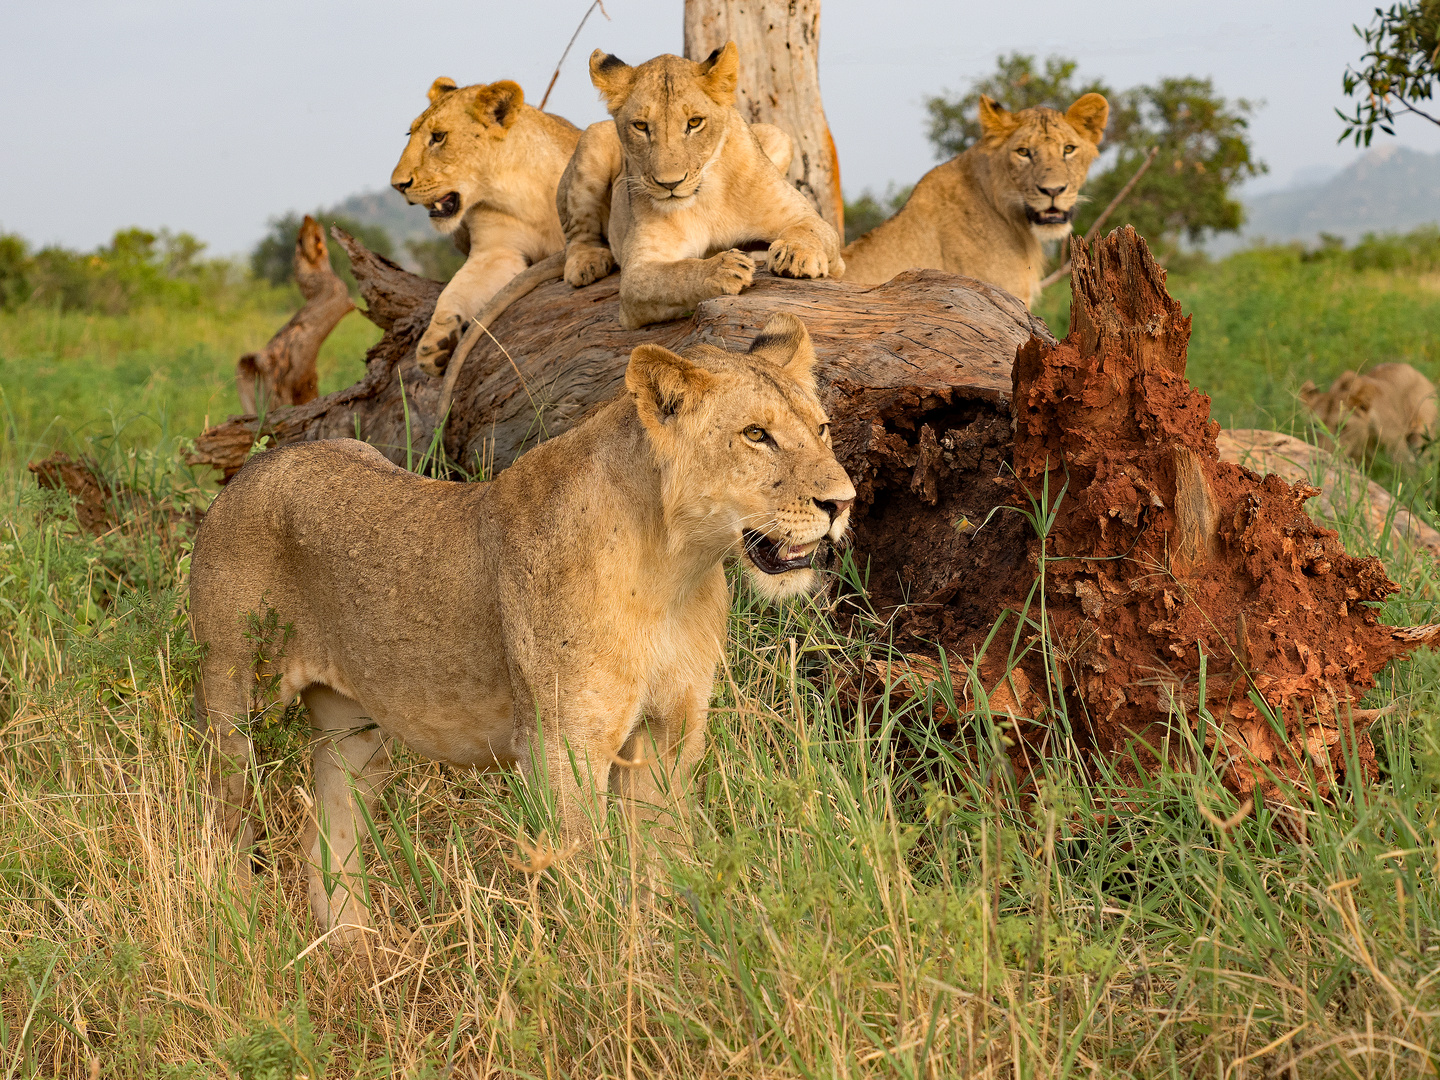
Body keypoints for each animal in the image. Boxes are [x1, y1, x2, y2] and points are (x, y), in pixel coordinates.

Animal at [197, 316, 858, 944]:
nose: (843, 502)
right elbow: (585, 867)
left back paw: (353, 952)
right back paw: (235, 924)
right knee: (223, 823)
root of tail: (256, 465)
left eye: (823, 429)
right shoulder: (564, 744)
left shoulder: (673, 732)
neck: (673, 571)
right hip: (234, 702)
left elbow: (662, 860)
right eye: (756, 435)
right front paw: (602, 961)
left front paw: (662, 952)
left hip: (354, 731)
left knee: (328, 840)